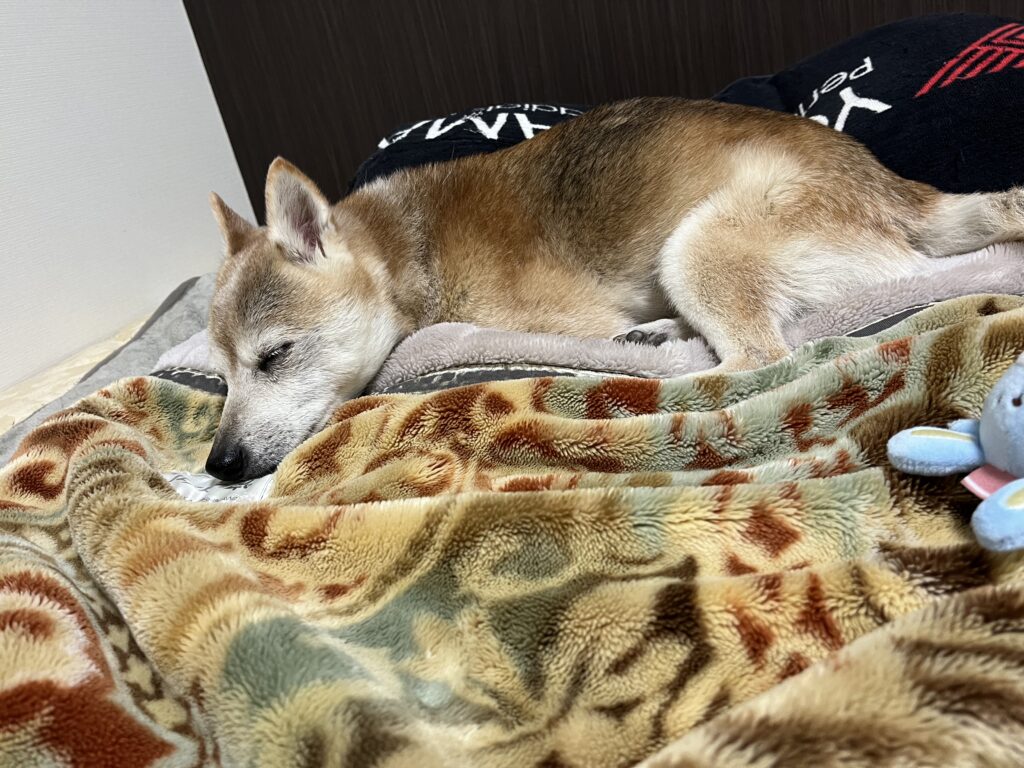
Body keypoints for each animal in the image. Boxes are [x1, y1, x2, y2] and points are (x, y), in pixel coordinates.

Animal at [204, 97, 1024, 481]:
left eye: (275, 356)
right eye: (222, 376)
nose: (219, 466)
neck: (408, 249)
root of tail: (909, 196)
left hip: (694, 247)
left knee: (753, 362)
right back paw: (657, 336)